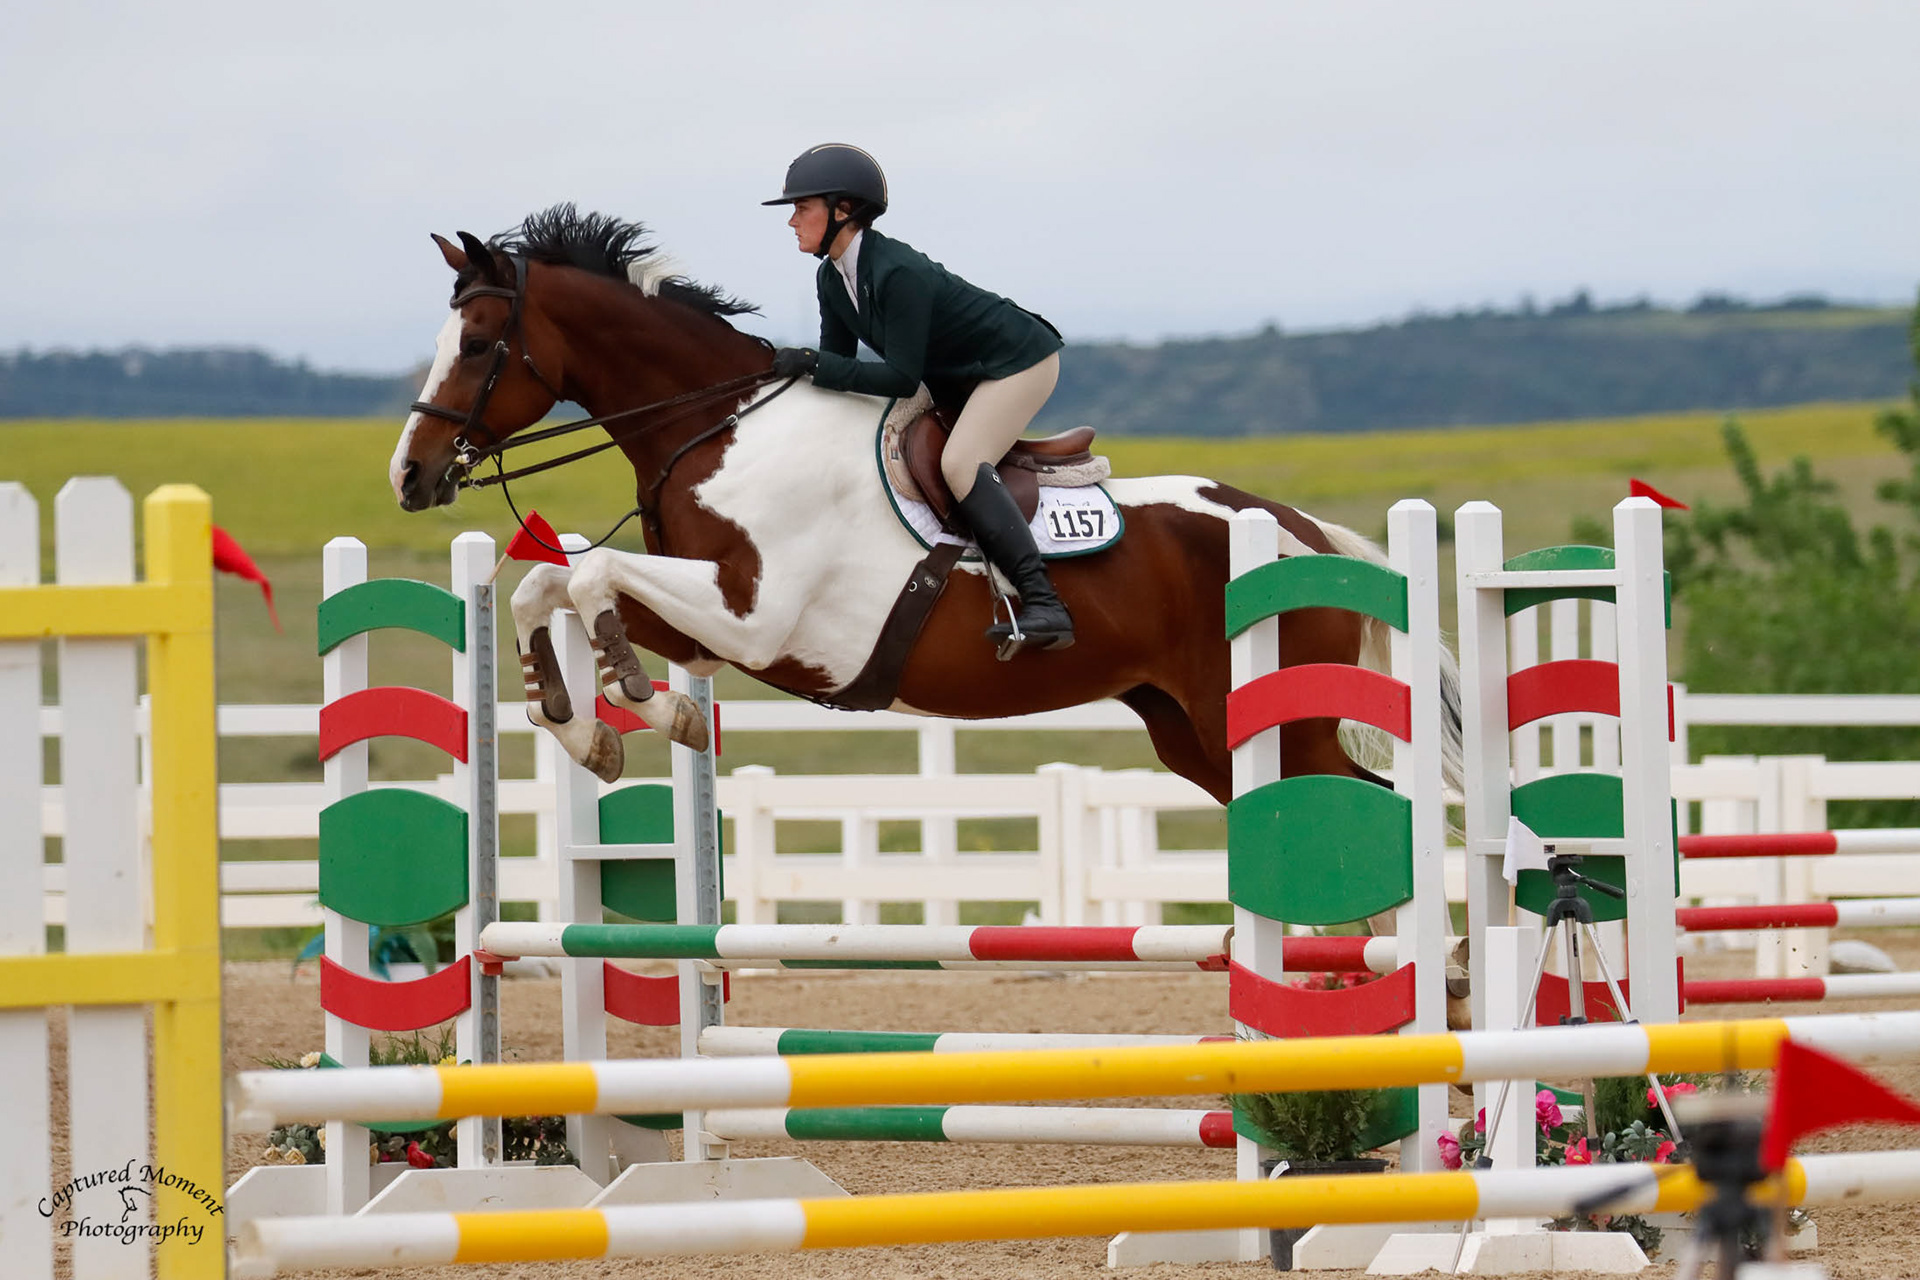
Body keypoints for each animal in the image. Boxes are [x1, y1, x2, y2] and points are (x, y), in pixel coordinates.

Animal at [390, 205, 1463, 803]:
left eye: (479, 344)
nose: (410, 475)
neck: (716, 427)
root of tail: (1306, 532)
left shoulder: (756, 615)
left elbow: (593, 576)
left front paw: (642, 697)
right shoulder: (713, 622)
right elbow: (544, 588)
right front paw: (594, 730)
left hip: (1282, 721)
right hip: (1193, 730)